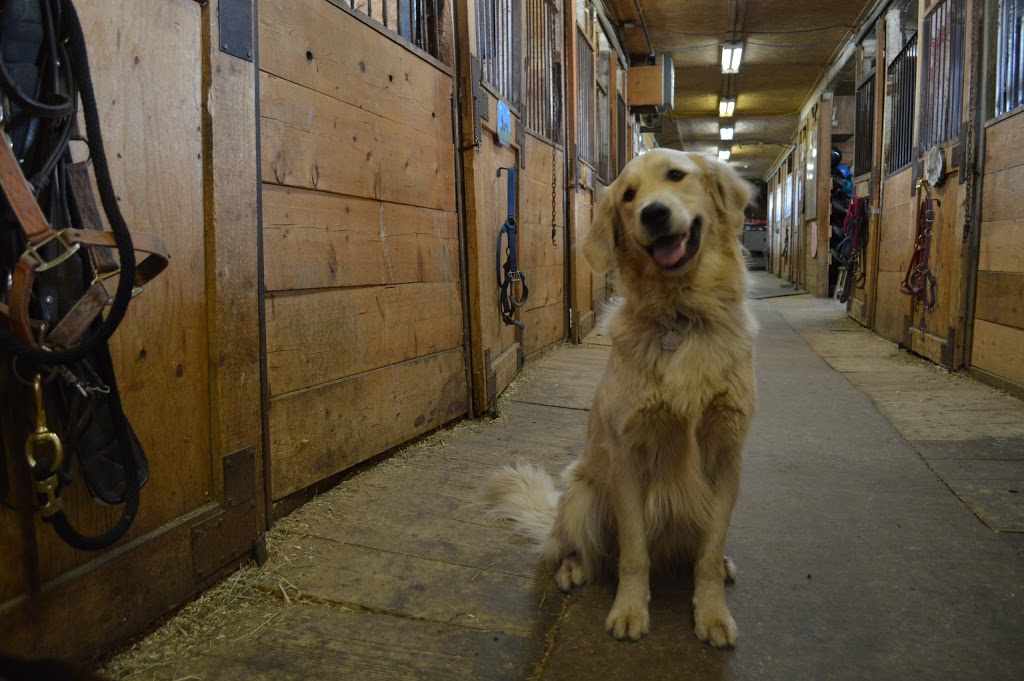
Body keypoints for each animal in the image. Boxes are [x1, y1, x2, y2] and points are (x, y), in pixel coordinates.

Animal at [483, 150, 757, 647]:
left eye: (676, 176)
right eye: (629, 195)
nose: (654, 213)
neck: (681, 314)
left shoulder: (727, 455)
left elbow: (708, 551)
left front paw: (712, 614)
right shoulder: (628, 457)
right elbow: (633, 552)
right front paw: (629, 610)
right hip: (584, 494)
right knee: (580, 551)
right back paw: (573, 569)